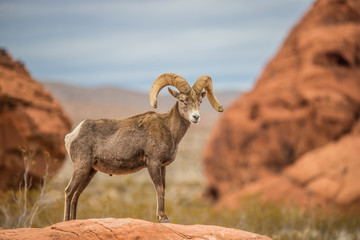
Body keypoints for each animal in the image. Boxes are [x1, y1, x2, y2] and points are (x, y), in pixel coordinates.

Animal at [63, 72, 224, 222]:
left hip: (90, 171)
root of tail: (72, 135)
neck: (168, 129)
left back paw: (73, 220)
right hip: (81, 167)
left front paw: (163, 216)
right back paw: (66, 220)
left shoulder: (162, 166)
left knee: (76, 194)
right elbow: (158, 187)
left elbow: (164, 188)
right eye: (182, 100)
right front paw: (162, 217)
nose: (195, 117)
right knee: (69, 191)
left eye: (200, 101)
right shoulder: (153, 162)